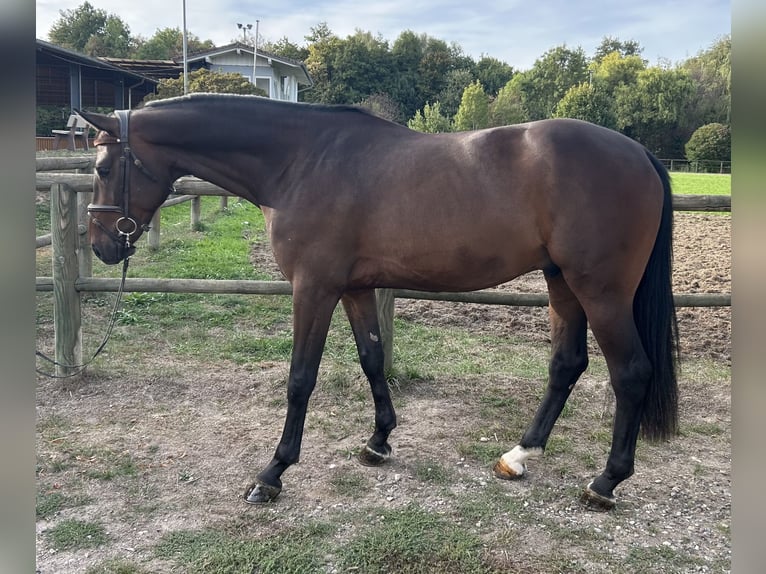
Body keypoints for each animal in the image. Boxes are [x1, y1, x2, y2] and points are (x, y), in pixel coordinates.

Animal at [77, 93, 678, 511]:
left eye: (103, 169)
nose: (102, 246)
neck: (300, 162)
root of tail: (640, 153)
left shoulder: (313, 288)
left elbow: (300, 379)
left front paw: (272, 474)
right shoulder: (355, 288)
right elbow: (372, 360)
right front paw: (379, 442)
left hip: (600, 290)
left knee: (630, 372)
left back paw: (605, 483)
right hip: (561, 282)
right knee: (566, 364)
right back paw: (519, 456)